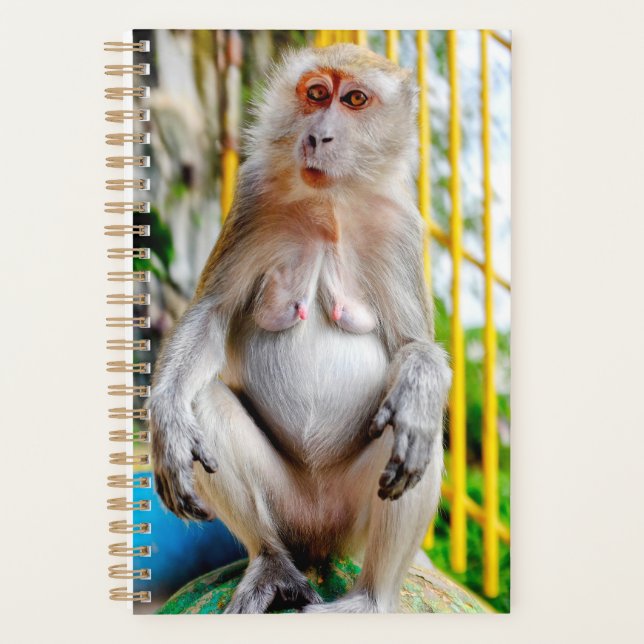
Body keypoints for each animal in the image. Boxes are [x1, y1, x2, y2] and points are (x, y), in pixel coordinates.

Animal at [150, 43, 451, 614]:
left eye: (354, 99)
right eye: (315, 93)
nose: (318, 136)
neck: (330, 202)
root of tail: (318, 542)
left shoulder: (403, 226)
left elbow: (413, 349)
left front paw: (421, 385)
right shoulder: (252, 196)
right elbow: (211, 314)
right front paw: (167, 420)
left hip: (351, 519)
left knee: (411, 430)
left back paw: (370, 601)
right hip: (287, 508)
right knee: (209, 402)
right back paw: (271, 564)